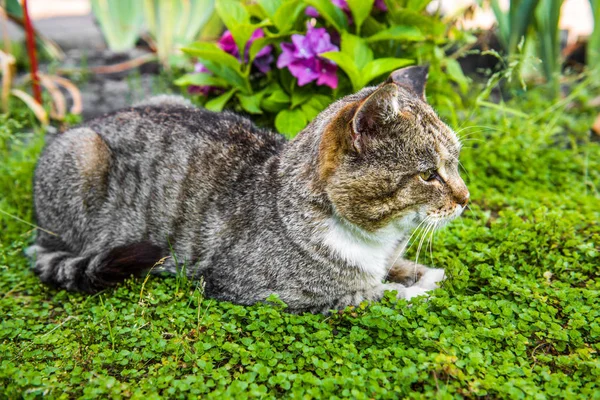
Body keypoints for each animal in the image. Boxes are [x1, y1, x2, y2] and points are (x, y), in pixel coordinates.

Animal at [29, 67, 468, 314]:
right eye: (429, 174)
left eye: (456, 162)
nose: (465, 199)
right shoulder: (261, 290)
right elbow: (371, 293)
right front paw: (412, 291)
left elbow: (400, 271)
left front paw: (423, 274)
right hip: (83, 155)